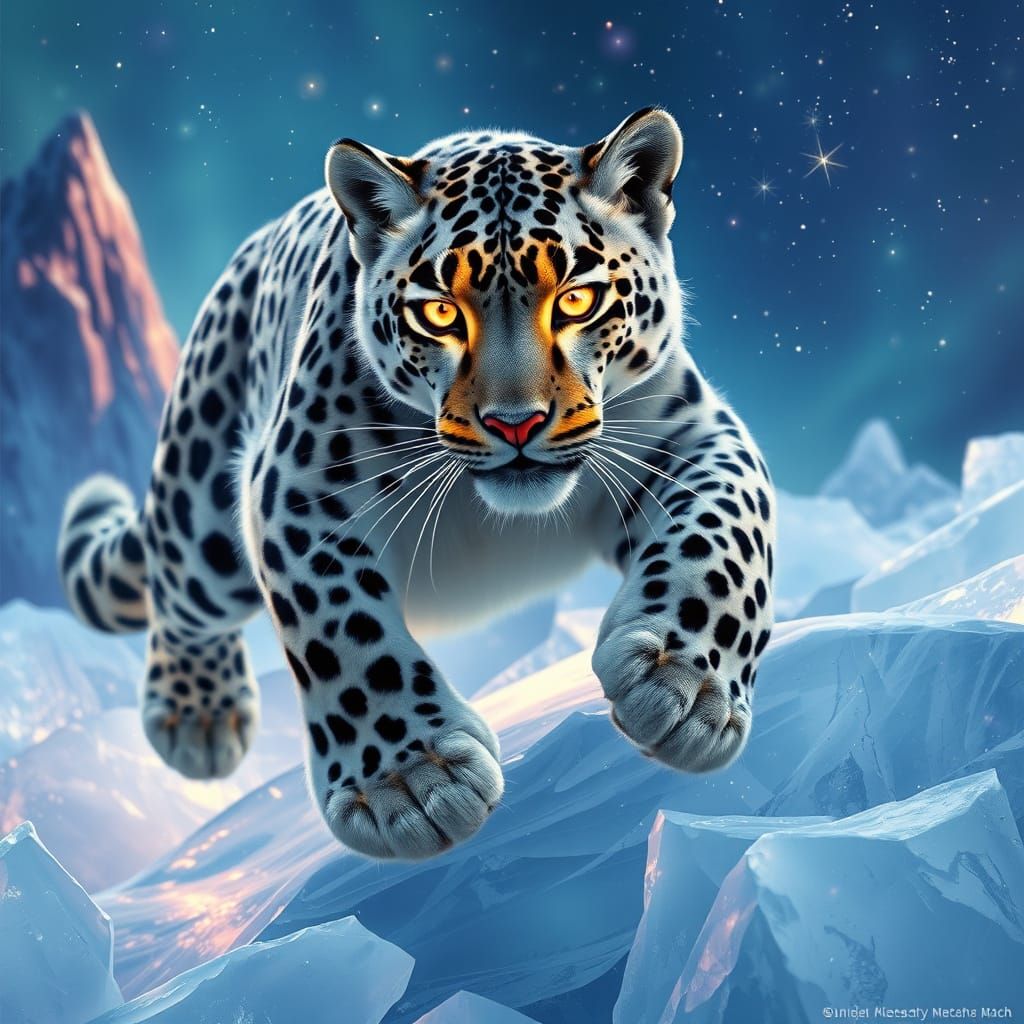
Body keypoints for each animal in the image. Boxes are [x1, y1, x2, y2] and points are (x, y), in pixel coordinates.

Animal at [58, 108, 775, 860]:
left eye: (578, 300)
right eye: (439, 314)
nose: (515, 423)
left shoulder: (693, 435)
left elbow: (723, 540)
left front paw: (684, 684)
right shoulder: (299, 487)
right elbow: (345, 631)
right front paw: (406, 782)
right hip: (205, 523)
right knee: (176, 587)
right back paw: (199, 716)